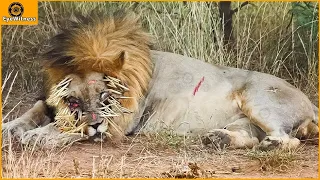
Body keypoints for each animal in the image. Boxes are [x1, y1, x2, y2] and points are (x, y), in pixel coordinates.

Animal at [1, 10, 318, 150]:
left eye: (106, 96)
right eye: (73, 100)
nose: (97, 122)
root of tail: (310, 103)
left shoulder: (122, 120)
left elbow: (71, 127)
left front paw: (40, 135)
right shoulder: (49, 100)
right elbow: (35, 110)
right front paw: (12, 127)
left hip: (258, 99)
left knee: (288, 140)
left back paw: (270, 145)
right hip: (243, 121)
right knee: (251, 136)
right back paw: (218, 138)